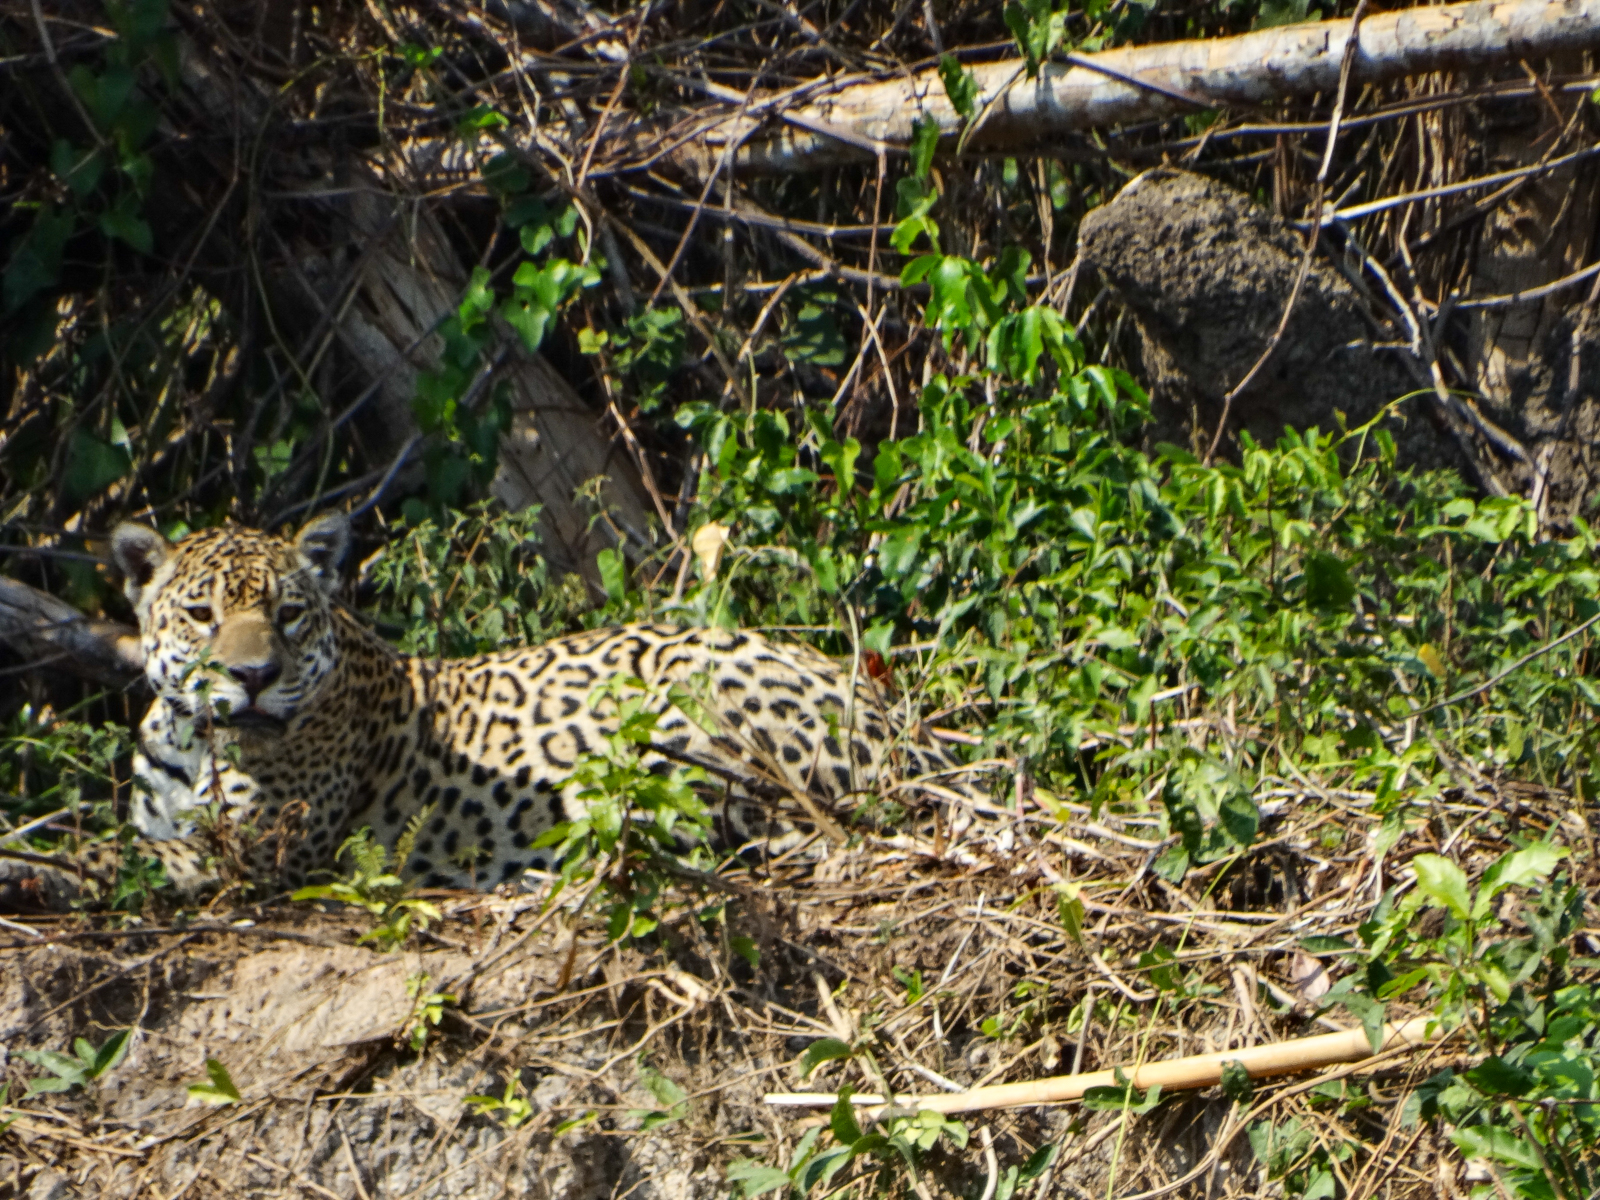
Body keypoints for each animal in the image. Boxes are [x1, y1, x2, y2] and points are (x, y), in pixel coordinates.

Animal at [94, 512, 974, 898]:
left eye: (287, 615)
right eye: (202, 615)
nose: (253, 675)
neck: (194, 739)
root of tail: (908, 729)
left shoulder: (267, 846)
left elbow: (147, 860)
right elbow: (141, 842)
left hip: (695, 701)